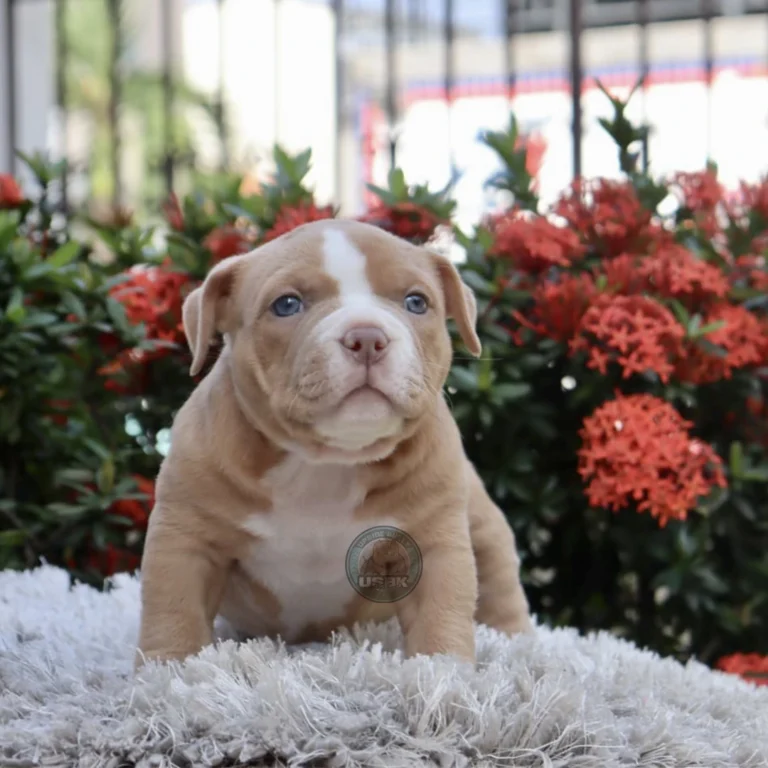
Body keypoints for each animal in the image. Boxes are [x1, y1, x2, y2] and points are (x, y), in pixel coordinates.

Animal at [136, 219, 532, 668]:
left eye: (416, 302)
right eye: (287, 305)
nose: (367, 337)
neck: (326, 463)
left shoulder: (433, 541)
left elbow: (441, 612)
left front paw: (443, 671)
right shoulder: (185, 537)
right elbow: (174, 609)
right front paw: (168, 669)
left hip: (483, 523)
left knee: (499, 581)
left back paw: (513, 638)